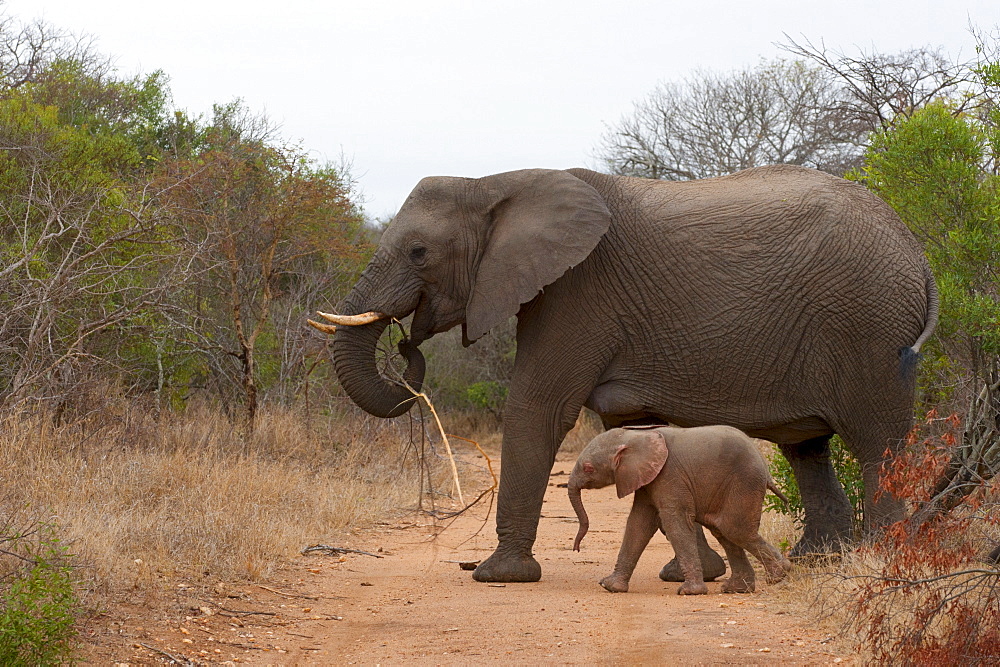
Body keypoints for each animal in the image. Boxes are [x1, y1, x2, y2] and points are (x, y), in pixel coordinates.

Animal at [572, 426, 788, 596]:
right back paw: (738, 588)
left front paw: (690, 592)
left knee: (735, 530)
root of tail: (765, 467)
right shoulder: (647, 479)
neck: (634, 436)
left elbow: (675, 522)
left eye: (588, 468)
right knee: (722, 531)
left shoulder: (670, 475)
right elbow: (638, 523)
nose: (576, 549)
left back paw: (779, 575)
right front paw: (610, 586)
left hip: (745, 481)